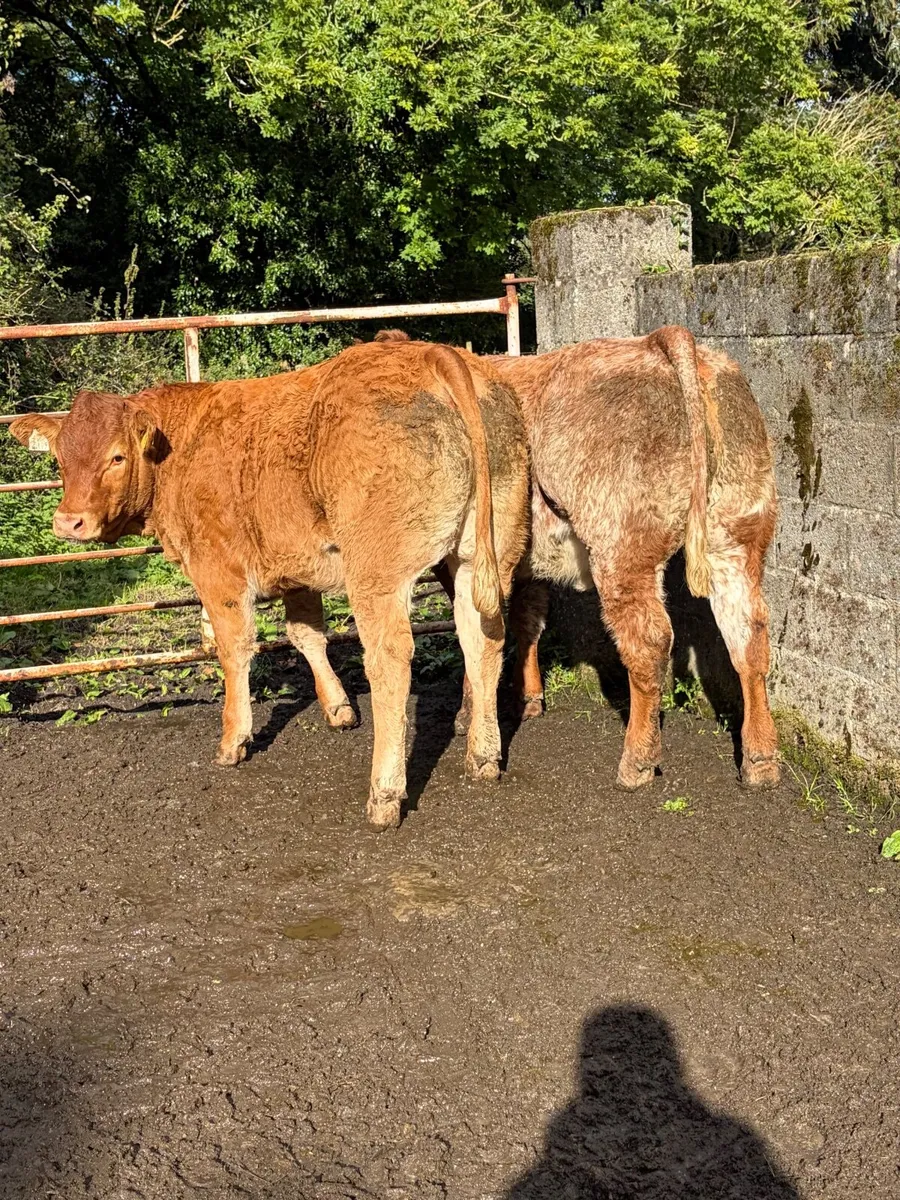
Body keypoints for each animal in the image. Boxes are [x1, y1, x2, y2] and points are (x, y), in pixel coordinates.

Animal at [10, 341, 530, 829]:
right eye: (60, 460)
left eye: (116, 456)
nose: (68, 522)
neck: (179, 449)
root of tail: (432, 354)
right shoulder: (299, 567)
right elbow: (306, 635)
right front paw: (337, 707)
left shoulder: (218, 570)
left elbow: (235, 648)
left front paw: (233, 739)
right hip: (484, 553)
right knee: (483, 637)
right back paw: (483, 755)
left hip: (377, 572)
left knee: (389, 658)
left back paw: (384, 795)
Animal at [374, 326, 781, 791]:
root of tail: (658, 342)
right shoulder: (521, 565)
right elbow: (526, 621)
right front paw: (529, 697)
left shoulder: (461, 561)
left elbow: (472, 631)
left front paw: (468, 715)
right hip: (735, 535)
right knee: (749, 636)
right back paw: (761, 760)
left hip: (621, 549)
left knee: (649, 642)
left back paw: (637, 762)